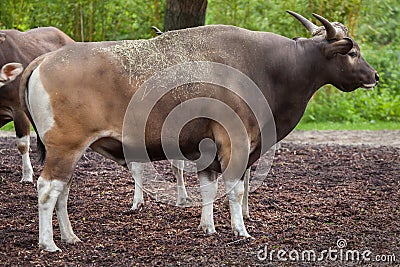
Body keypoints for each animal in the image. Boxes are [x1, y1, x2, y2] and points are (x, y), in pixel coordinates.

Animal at [19, 11, 378, 253]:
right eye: (353, 52)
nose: (374, 76)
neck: (268, 67)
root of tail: (44, 60)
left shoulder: (209, 147)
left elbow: (208, 187)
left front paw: (208, 227)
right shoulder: (234, 140)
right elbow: (235, 189)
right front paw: (240, 230)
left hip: (68, 150)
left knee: (63, 190)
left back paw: (69, 236)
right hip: (65, 146)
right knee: (47, 189)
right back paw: (49, 244)